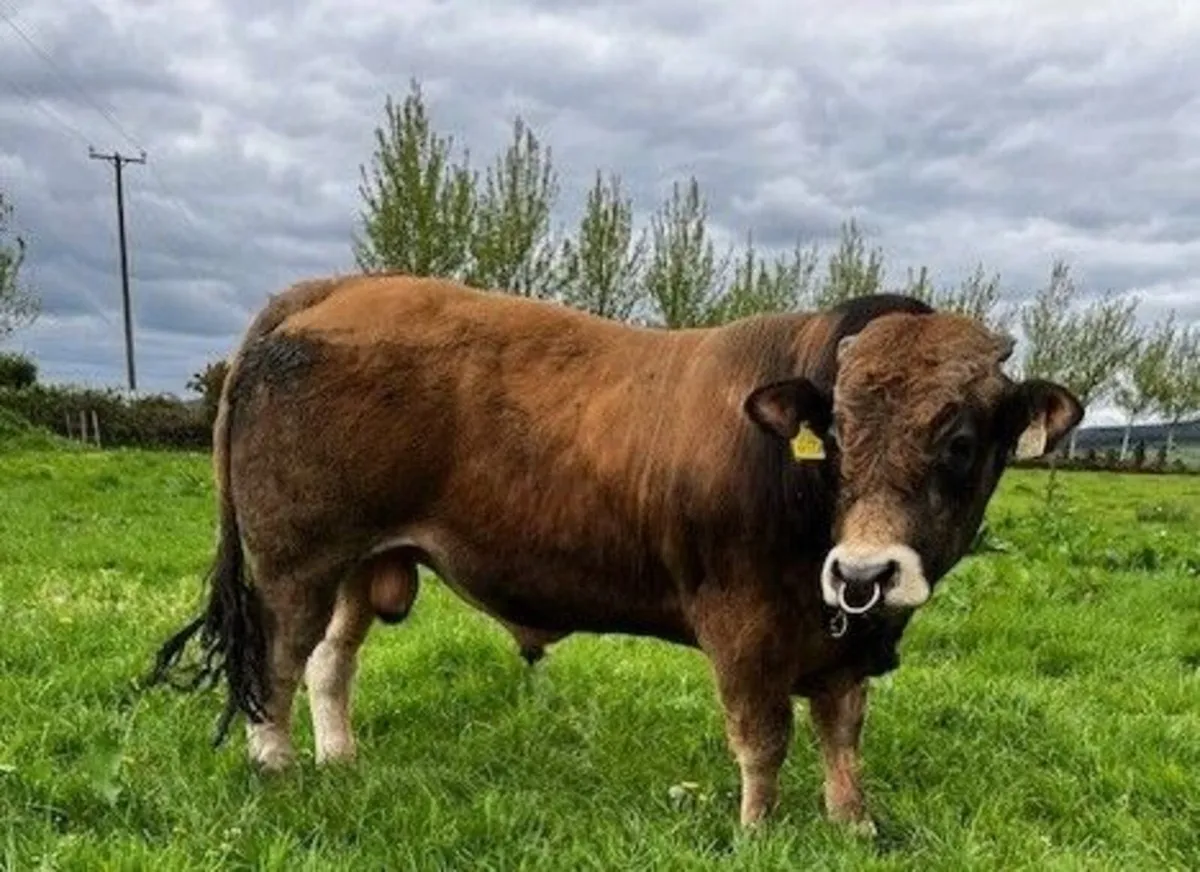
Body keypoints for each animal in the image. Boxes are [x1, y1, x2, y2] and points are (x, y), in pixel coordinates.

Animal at [148, 273, 1083, 832]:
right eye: (839, 436)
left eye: (960, 441)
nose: (866, 571)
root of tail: (336, 288)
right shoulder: (742, 627)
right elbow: (764, 736)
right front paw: (758, 830)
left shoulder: (847, 643)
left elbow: (842, 732)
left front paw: (853, 823)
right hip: (296, 560)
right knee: (275, 660)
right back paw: (277, 771)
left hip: (360, 564)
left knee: (330, 661)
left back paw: (341, 760)